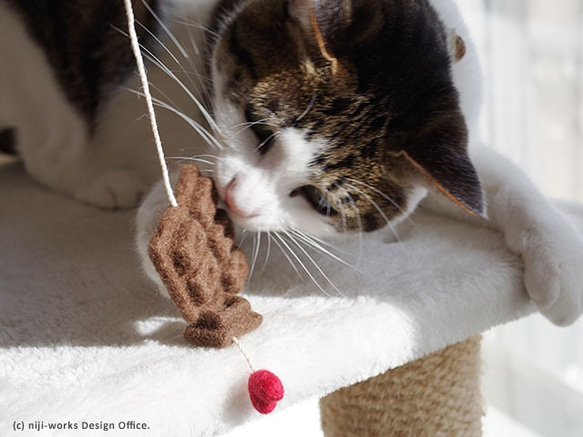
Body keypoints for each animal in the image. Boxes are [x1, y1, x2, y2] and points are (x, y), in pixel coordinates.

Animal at [1, 0, 583, 326]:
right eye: (258, 126)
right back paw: (95, 177)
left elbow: (500, 179)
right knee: (46, 143)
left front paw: (562, 264)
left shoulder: (451, 137)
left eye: (320, 200)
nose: (235, 200)